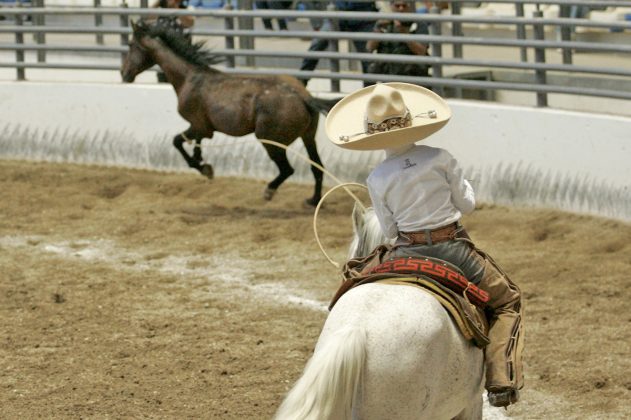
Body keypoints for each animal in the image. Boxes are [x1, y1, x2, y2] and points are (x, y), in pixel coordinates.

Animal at [122, 18, 340, 206]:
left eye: (131, 45)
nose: (124, 74)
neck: (190, 78)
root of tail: (302, 97)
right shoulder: (203, 129)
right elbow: (194, 144)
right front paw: (202, 163)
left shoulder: (198, 126)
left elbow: (177, 141)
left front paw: (204, 169)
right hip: (308, 136)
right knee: (317, 168)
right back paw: (313, 201)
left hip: (271, 141)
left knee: (288, 170)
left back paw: (269, 191)